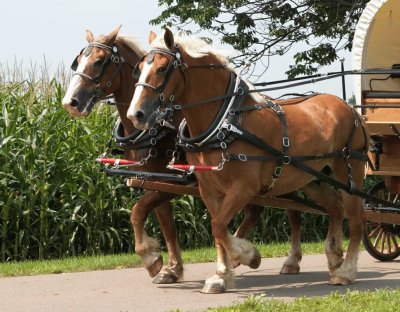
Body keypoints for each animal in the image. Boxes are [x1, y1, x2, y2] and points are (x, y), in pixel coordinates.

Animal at [61, 27, 268, 282]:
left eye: (99, 61)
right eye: (79, 60)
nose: (70, 102)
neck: (157, 127)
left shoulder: (169, 185)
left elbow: (137, 211)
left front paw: (151, 259)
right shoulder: (154, 182)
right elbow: (167, 225)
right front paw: (172, 268)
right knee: (255, 209)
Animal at [128, 28, 368, 294]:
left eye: (162, 68)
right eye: (139, 68)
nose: (136, 114)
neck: (226, 121)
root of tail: (349, 108)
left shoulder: (245, 187)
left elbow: (219, 226)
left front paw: (247, 255)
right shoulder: (208, 189)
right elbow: (218, 228)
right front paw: (221, 274)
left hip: (350, 174)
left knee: (356, 220)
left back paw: (345, 271)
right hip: (312, 179)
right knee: (335, 207)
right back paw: (334, 256)